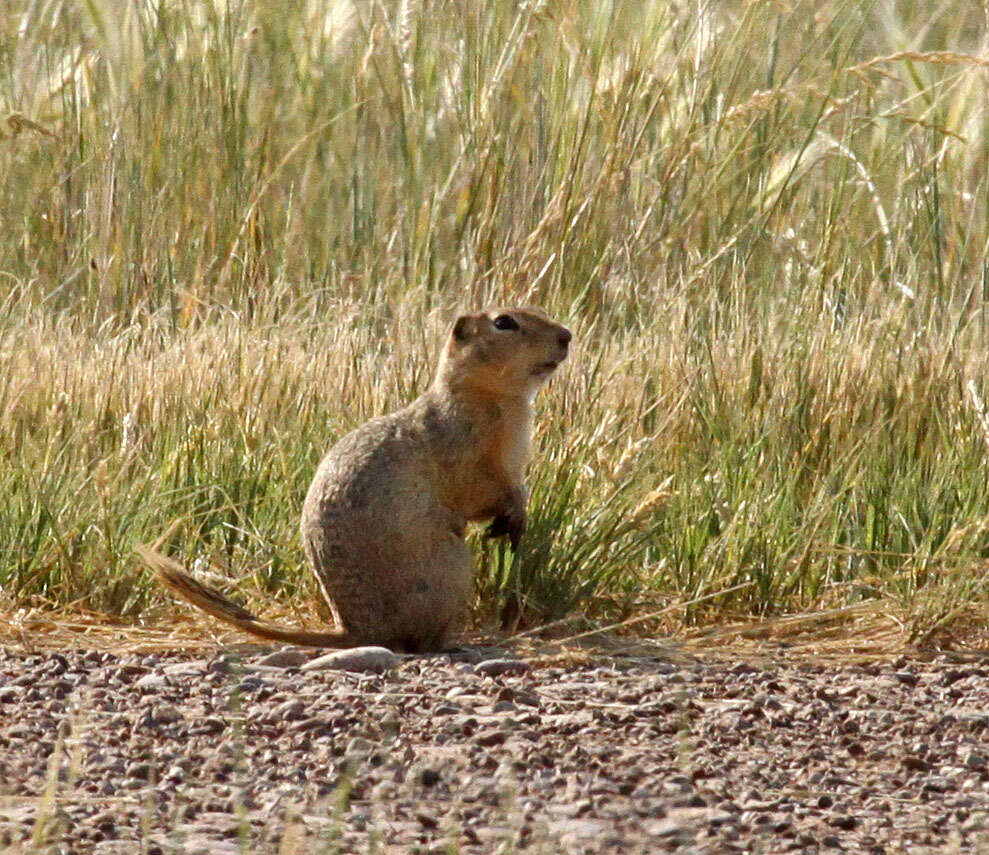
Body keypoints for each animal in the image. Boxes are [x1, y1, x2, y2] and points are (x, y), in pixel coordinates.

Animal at [139, 310, 572, 652]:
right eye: (504, 322)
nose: (567, 335)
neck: (496, 399)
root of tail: (354, 631)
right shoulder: (468, 451)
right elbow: (483, 490)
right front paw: (515, 514)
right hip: (453, 569)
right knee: (420, 642)